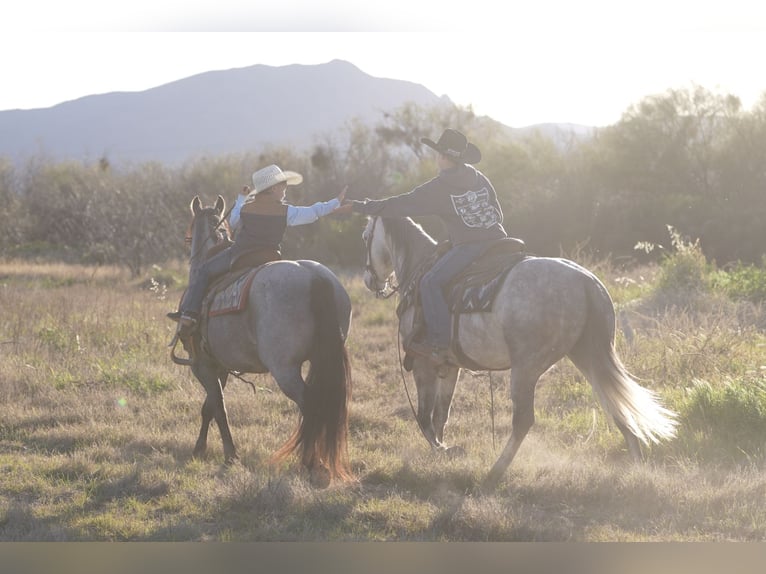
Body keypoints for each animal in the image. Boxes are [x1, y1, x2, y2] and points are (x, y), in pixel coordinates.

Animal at [170, 195, 353, 484]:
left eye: (189, 235)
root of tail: (315, 277)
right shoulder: (220, 367)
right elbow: (210, 407)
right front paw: (202, 449)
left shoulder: (203, 366)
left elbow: (217, 407)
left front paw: (227, 454)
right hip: (322, 360)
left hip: (285, 370)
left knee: (310, 404)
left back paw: (311, 462)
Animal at [360, 215, 677, 489]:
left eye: (365, 236)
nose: (369, 280)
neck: (418, 270)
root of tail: (586, 281)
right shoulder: (449, 367)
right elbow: (441, 415)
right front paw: (444, 451)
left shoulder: (423, 364)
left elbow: (425, 417)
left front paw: (442, 450)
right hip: (588, 357)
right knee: (615, 404)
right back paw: (637, 467)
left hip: (526, 368)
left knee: (523, 420)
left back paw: (493, 475)